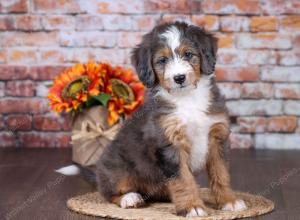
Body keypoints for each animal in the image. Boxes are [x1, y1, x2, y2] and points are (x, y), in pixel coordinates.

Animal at [95, 21, 246, 217]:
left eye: (188, 54)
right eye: (162, 60)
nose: (179, 78)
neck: (188, 99)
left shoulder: (217, 137)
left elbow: (220, 174)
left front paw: (229, 201)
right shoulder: (170, 144)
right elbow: (183, 180)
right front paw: (192, 207)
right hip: (116, 168)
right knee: (110, 192)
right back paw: (130, 198)